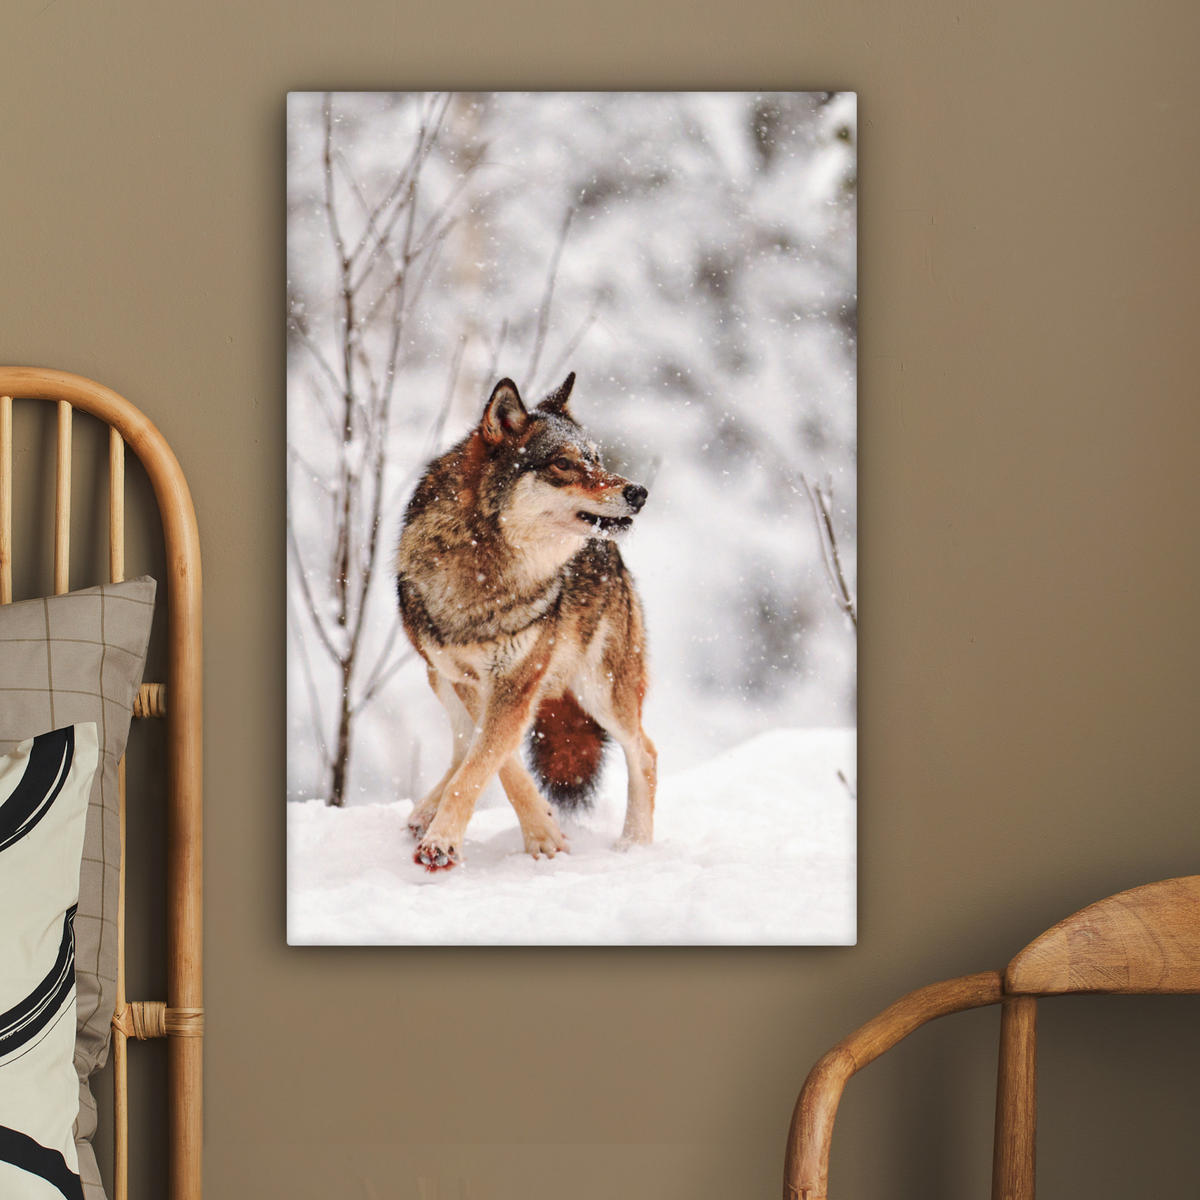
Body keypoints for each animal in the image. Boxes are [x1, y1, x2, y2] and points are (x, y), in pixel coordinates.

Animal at [395, 372, 657, 871]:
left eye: (596, 459)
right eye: (563, 464)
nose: (638, 492)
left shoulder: (516, 680)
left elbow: (484, 763)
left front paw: (446, 842)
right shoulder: (470, 679)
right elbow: (494, 762)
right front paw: (542, 831)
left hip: (601, 690)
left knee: (646, 753)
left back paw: (635, 846)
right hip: (438, 677)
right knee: (462, 744)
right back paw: (424, 812)